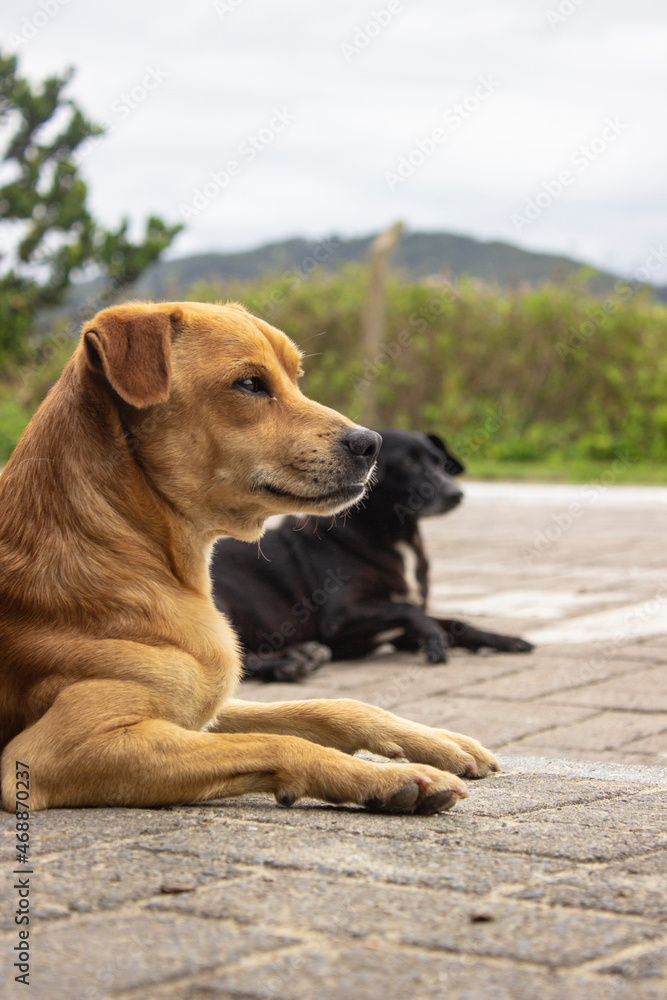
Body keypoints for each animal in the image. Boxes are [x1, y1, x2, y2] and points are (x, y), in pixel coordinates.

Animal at [0, 302, 498, 812]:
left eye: (296, 377)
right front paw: (385, 778)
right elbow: (280, 742)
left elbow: (329, 707)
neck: (124, 546)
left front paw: (438, 741)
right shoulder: (56, 750)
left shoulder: (206, 711)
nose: (371, 443)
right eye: (249, 384)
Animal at [211, 430, 536, 680]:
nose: (455, 493)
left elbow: (456, 623)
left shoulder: (403, 634)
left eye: (441, 463)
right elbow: (410, 610)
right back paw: (288, 666)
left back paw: (303, 654)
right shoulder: (341, 617)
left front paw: (502, 640)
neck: (397, 537)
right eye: (407, 463)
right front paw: (434, 641)